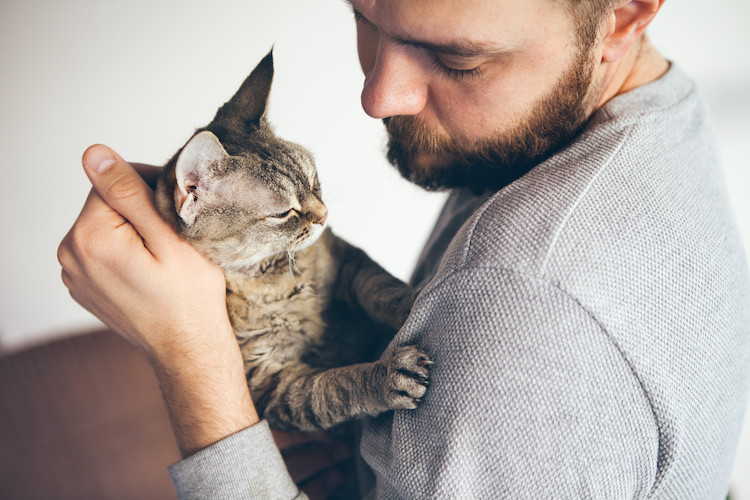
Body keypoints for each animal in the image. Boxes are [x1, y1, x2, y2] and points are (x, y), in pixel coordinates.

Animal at [156, 50, 432, 432]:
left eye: (314, 181)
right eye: (284, 212)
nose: (324, 215)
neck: (278, 276)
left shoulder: (347, 261)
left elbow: (382, 288)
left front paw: (412, 300)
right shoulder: (273, 381)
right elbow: (335, 387)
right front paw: (386, 375)